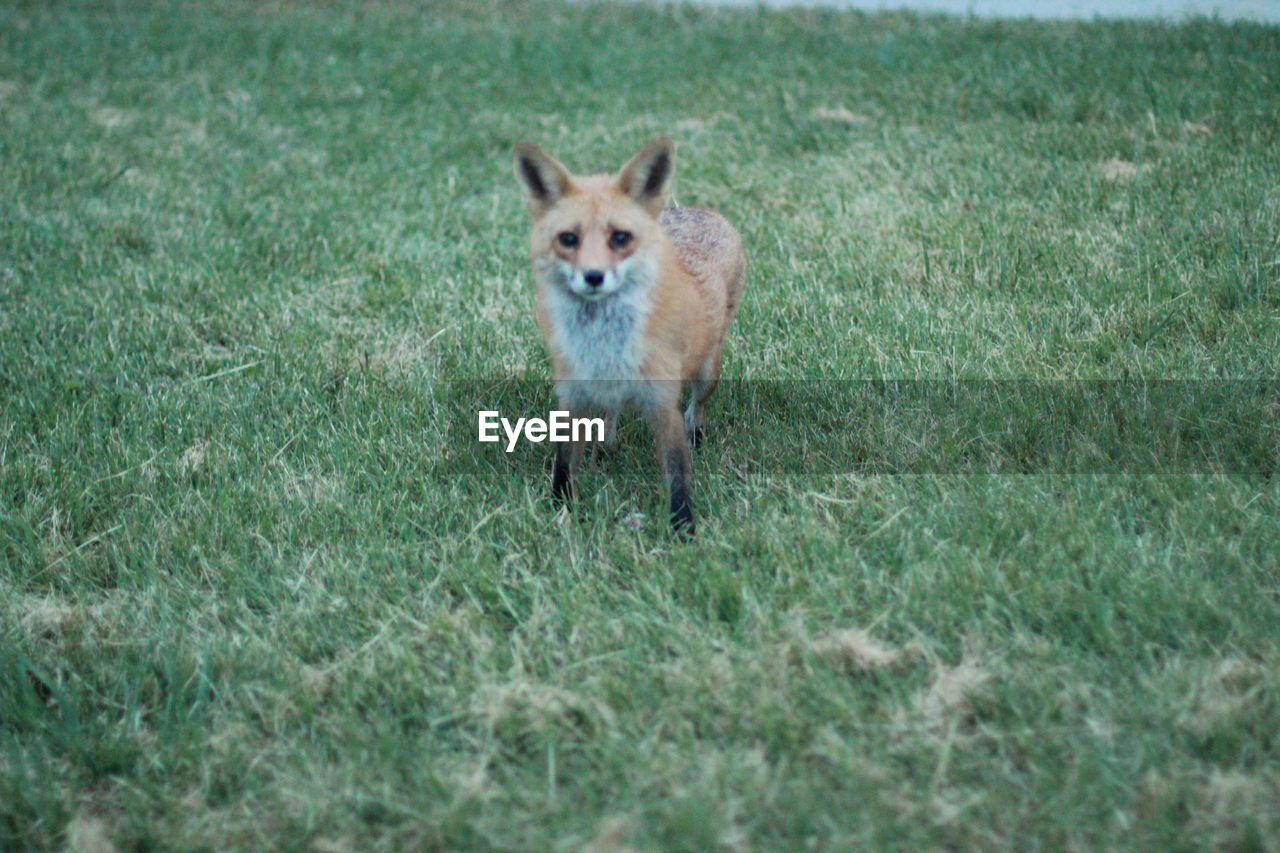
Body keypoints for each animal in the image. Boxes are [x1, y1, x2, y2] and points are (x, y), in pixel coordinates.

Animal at [512, 136, 747, 535]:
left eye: (620, 238)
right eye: (568, 239)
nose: (593, 276)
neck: (604, 343)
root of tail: (694, 210)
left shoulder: (663, 401)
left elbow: (677, 473)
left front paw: (683, 531)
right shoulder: (572, 393)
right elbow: (564, 463)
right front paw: (560, 510)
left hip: (707, 371)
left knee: (698, 406)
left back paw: (696, 433)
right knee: (611, 412)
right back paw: (606, 446)